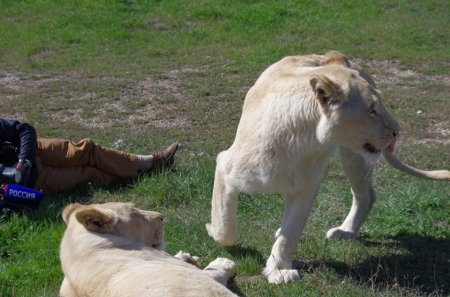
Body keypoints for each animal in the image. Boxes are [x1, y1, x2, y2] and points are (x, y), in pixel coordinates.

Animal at [59, 202, 239, 294]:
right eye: (134, 212)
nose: (161, 216)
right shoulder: (197, 277)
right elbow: (214, 272)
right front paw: (224, 263)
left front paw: (186, 256)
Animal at [206, 50, 448, 282]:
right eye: (371, 109)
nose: (397, 131)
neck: (301, 139)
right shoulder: (226, 166)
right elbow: (225, 227)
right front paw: (214, 233)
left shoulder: (306, 187)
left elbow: (291, 232)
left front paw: (280, 270)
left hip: (354, 156)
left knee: (366, 195)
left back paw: (346, 231)